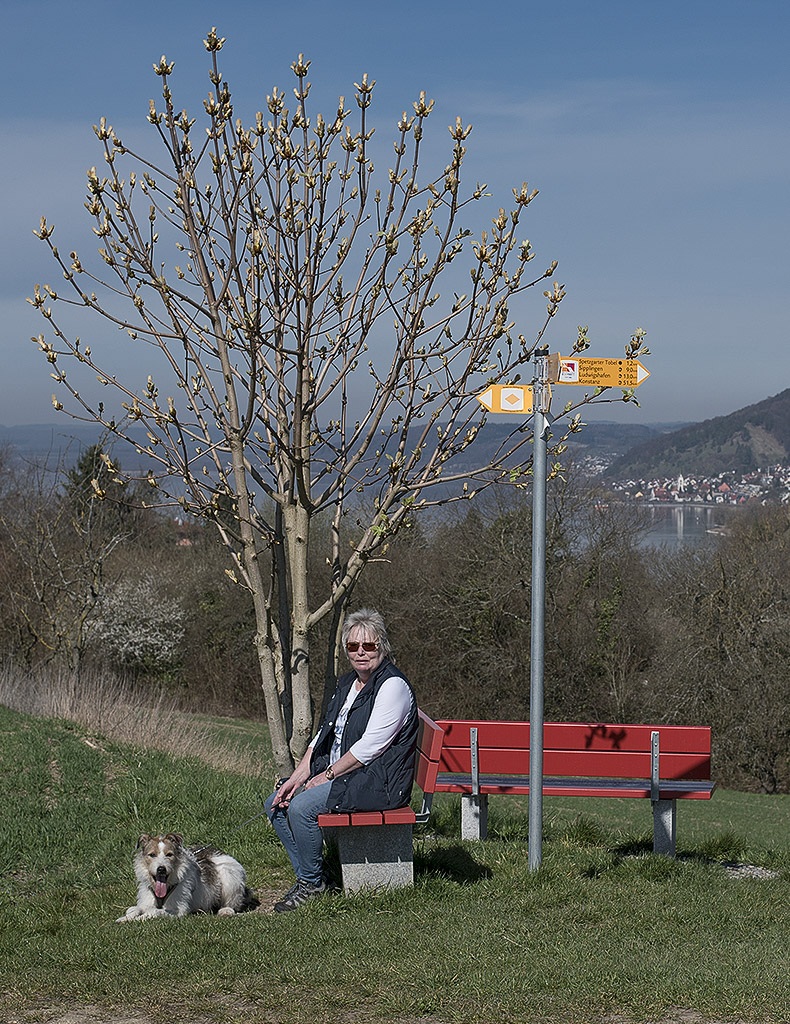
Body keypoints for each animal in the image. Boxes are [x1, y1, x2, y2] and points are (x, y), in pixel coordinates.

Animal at [115, 831, 256, 921]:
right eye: (152, 855)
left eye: (169, 854)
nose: (161, 869)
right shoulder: (146, 902)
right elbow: (134, 909)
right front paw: (126, 917)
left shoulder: (178, 910)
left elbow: (154, 911)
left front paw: (138, 918)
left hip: (229, 876)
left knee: (233, 904)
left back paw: (226, 910)